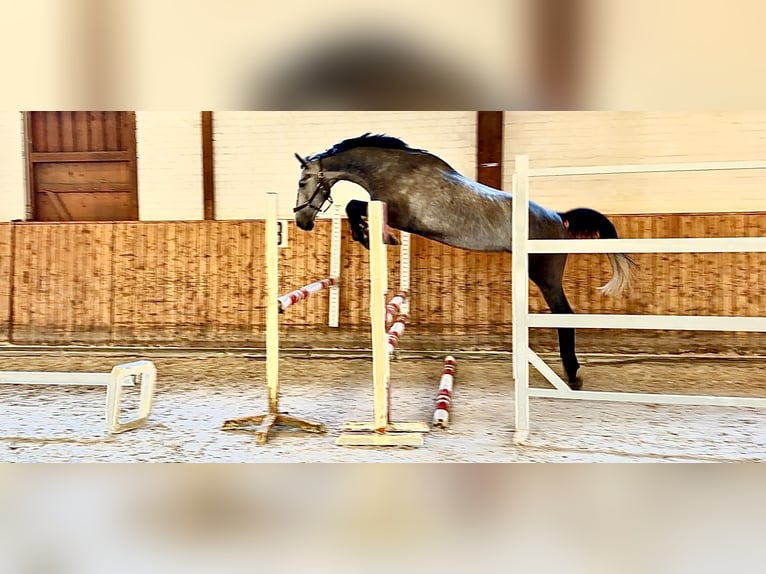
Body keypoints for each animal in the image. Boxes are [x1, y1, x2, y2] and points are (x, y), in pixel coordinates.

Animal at [291, 133, 636, 389]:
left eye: (302, 182)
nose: (301, 222)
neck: (393, 170)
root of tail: (557, 217)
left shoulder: (397, 213)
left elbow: (354, 205)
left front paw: (376, 237)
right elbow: (355, 207)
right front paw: (371, 236)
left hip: (545, 274)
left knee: (565, 316)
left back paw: (573, 375)